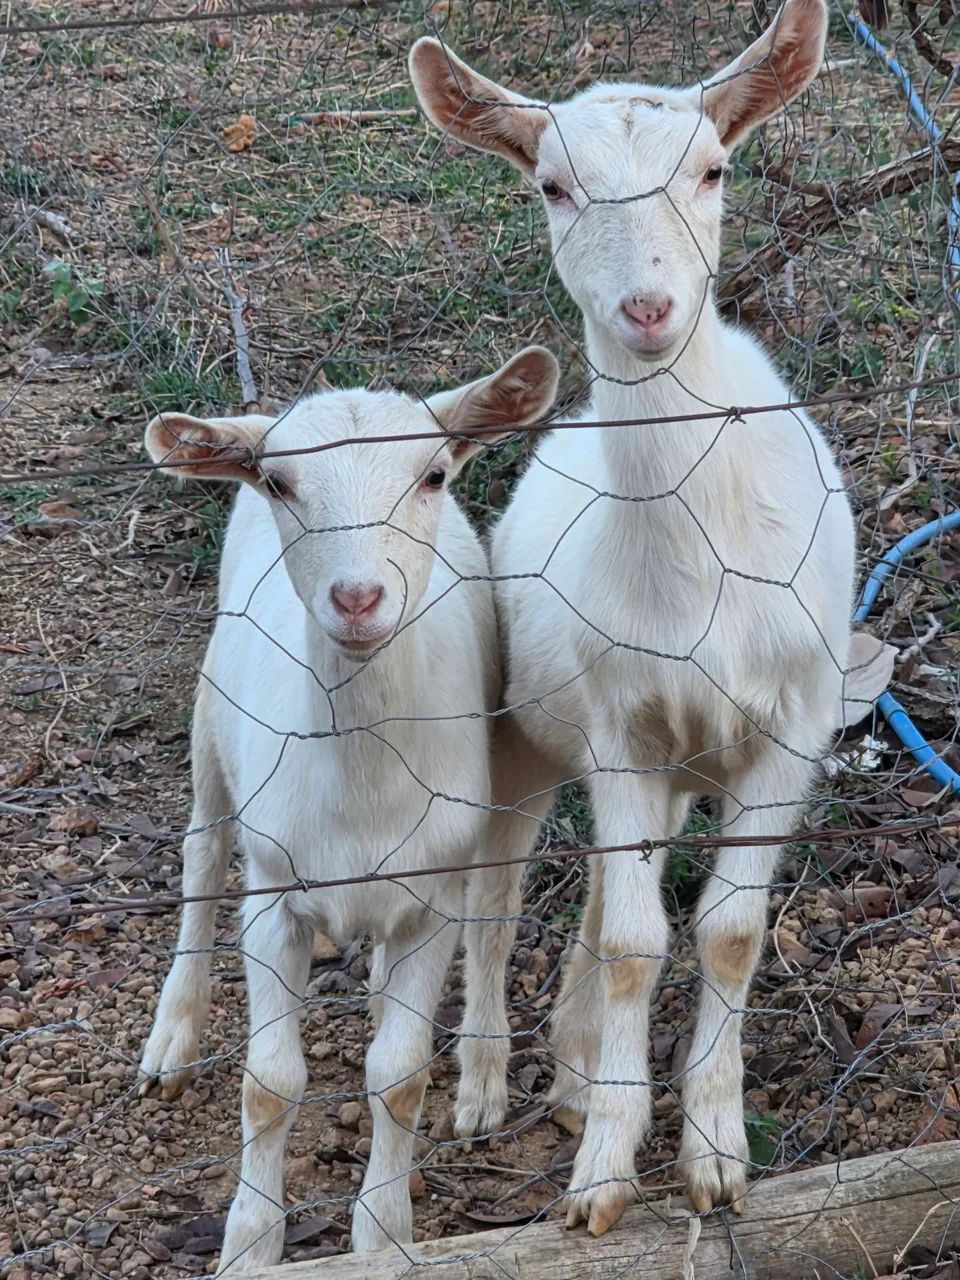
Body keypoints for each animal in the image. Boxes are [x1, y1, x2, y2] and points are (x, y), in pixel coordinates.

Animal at [138, 347, 559, 1272]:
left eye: (432, 473)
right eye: (280, 482)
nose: (359, 599)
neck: (362, 785)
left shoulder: (431, 898)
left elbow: (398, 1075)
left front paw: (384, 1236)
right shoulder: (273, 892)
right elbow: (271, 1084)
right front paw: (249, 1244)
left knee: (496, 902)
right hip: (213, 712)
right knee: (200, 853)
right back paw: (172, 1036)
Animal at [410, 0, 894, 1236]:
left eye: (715, 168)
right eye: (551, 186)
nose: (647, 310)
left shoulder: (791, 724)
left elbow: (722, 930)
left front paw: (714, 1157)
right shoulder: (618, 720)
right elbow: (638, 941)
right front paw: (604, 1179)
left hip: (664, 767)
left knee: (592, 893)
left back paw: (580, 1072)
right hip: (522, 736)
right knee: (497, 898)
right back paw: (489, 1086)